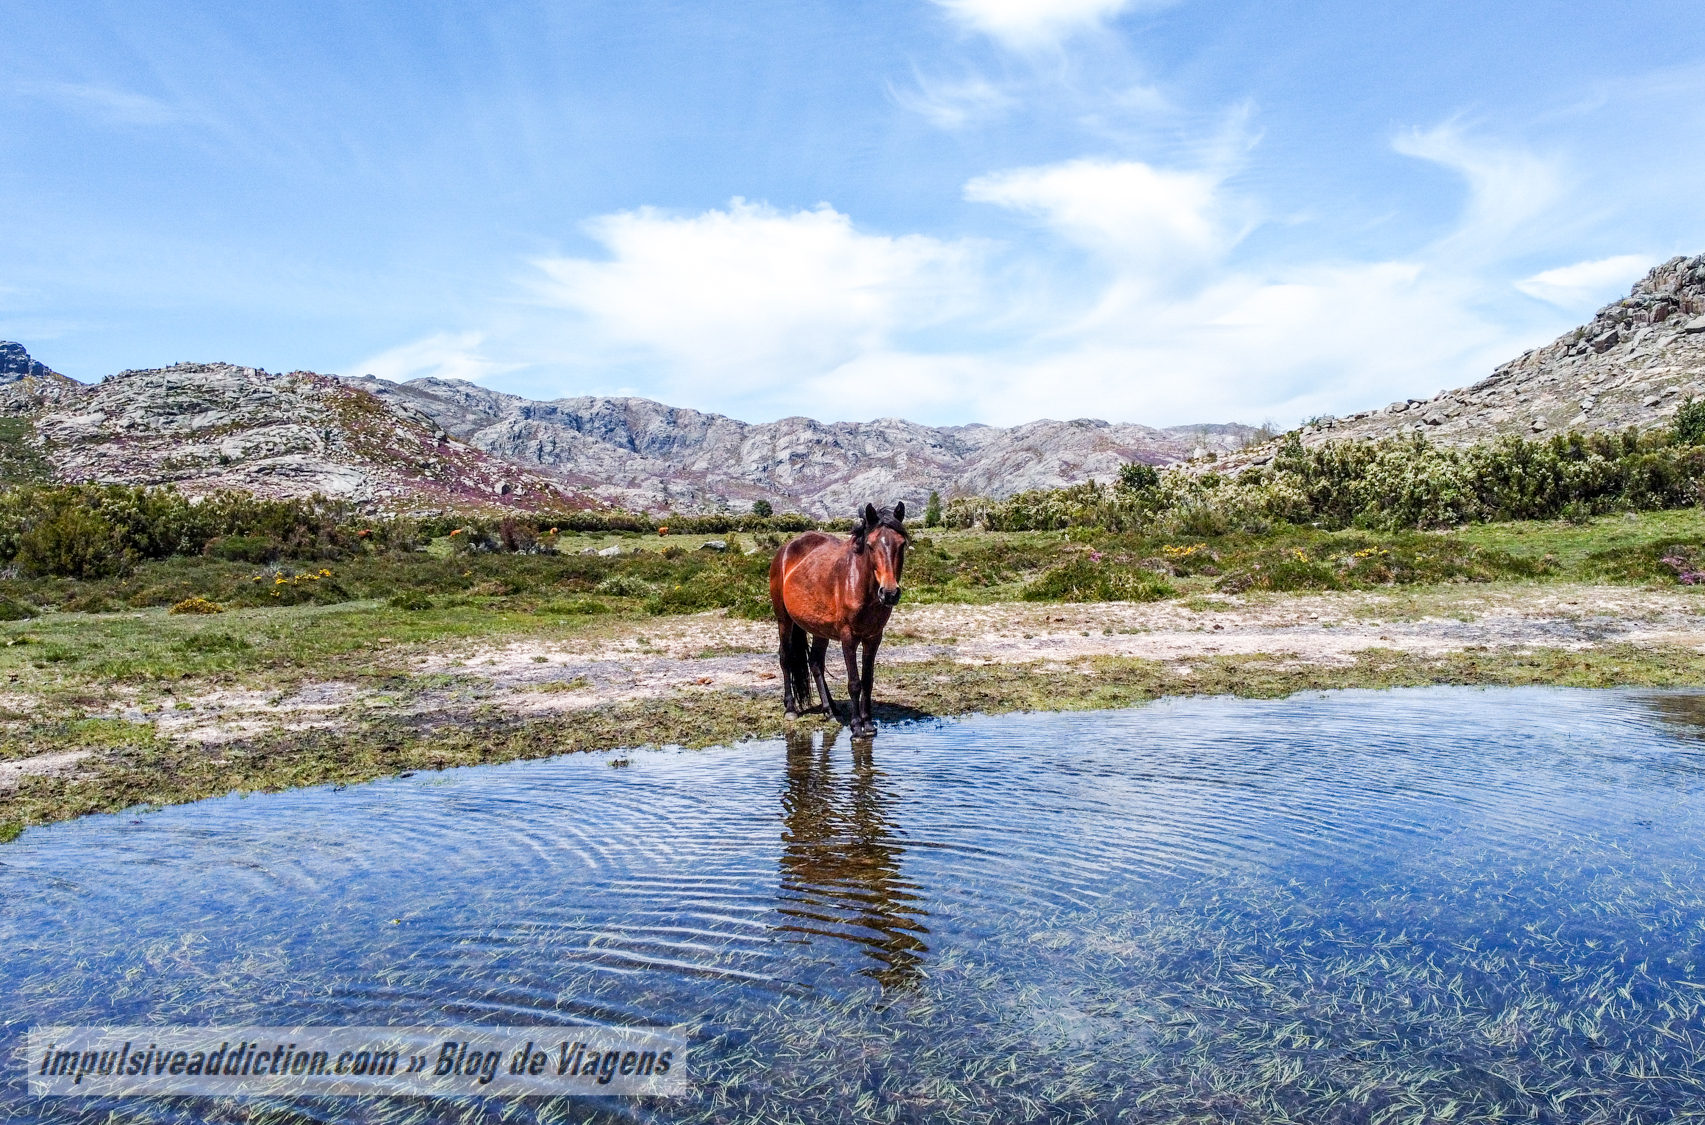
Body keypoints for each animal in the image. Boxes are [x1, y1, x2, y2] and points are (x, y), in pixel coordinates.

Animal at [769, 502, 908, 738]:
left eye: (902, 544)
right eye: (870, 546)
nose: (889, 593)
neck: (860, 585)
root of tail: (785, 549)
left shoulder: (873, 637)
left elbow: (867, 681)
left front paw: (868, 724)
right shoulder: (848, 637)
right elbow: (854, 683)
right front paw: (857, 727)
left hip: (819, 628)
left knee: (816, 663)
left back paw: (831, 710)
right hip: (784, 620)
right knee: (786, 657)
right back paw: (791, 709)